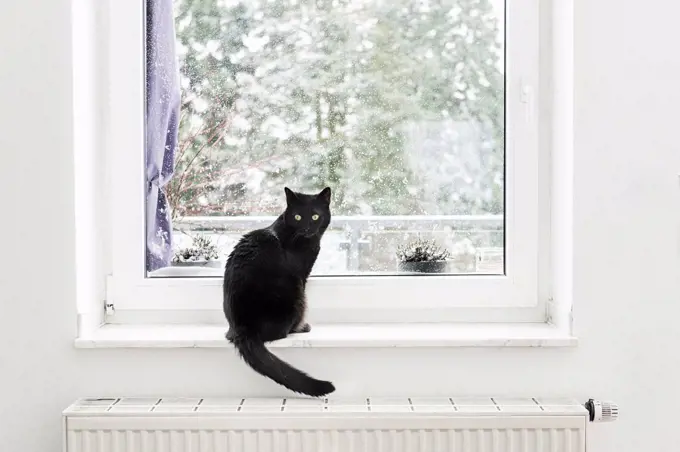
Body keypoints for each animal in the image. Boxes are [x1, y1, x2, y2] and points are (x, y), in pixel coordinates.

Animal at [224, 186, 336, 396]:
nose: (307, 228)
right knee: (281, 331)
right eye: (298, 216)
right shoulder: (302, 275)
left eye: (315, 216)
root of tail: (243, 327)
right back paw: (301, 328)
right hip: (294, 293)